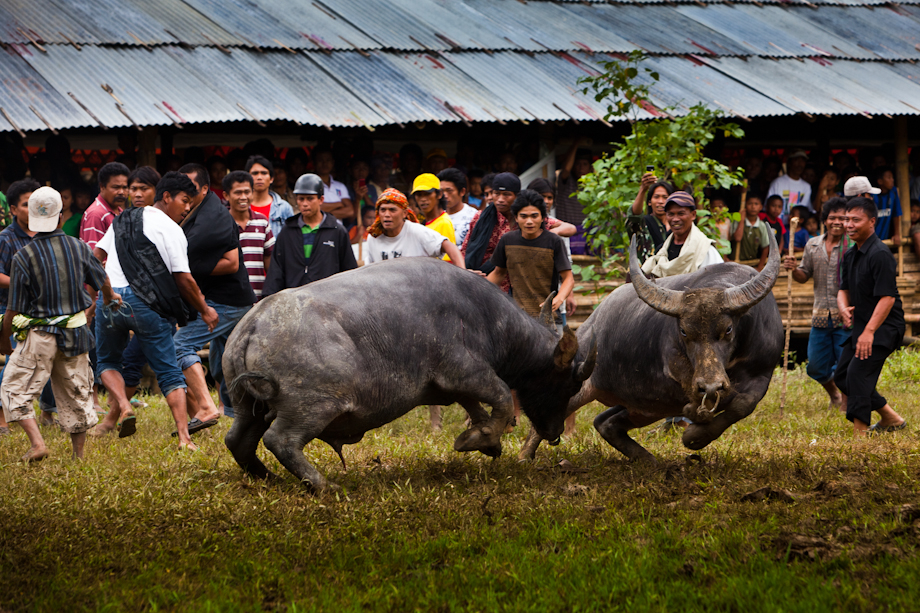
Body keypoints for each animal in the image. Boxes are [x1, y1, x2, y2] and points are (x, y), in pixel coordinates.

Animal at [223, 256, 596, 490]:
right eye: (568, 382)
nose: (554, 433)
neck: (484, 315)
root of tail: (253, 324)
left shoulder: (454, 385)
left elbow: (476, 407)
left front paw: (486, 440)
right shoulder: (464, 372)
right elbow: (503, 397)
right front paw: (480, 439)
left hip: (246, 406)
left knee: (237, 440)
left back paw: (267, 478)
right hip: (313, 407)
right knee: (281, 440)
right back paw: (323, 485)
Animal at [520, 232, 780, 462]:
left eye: (728, 329)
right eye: (684, 331)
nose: (710, 386)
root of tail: (587, 326)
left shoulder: (763, 371)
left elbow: (742, 403)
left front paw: (695, 435)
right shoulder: (676, 371)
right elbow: (707, 401)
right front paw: (694, 431)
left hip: (643, 407)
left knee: (604, 422)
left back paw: (647, 459)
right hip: (580, 381)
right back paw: (524, 457)